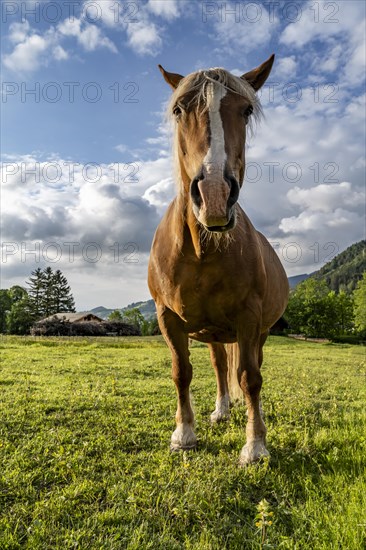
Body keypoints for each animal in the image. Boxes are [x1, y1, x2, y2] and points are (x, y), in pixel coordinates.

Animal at [147, 55, 288, 466]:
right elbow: (182, 372)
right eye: (178, 110)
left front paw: (255, 445)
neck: (201, 250)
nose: (213, 194)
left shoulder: (250, 318)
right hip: (211, 333)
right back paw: (221, 410)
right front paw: (184, 434)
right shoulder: (168, 317)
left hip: (258, 332)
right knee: (219, 366)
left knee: (246, 368)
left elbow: (251, 378)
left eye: (246, 110)